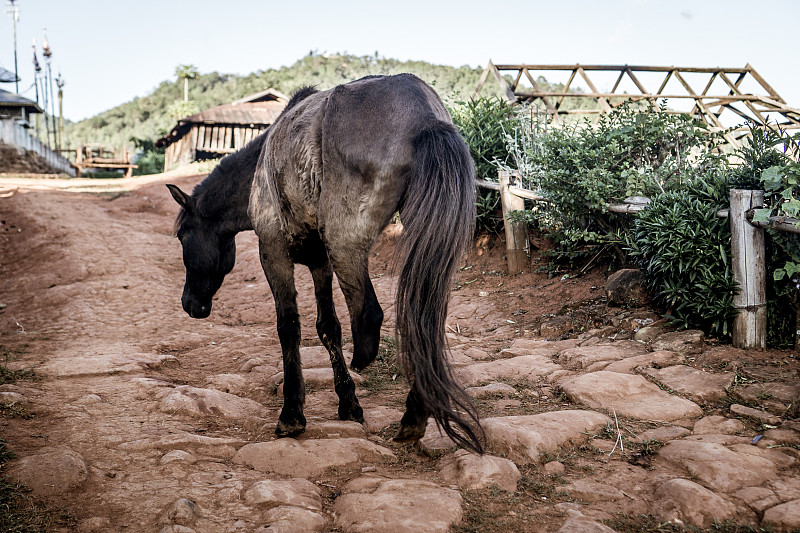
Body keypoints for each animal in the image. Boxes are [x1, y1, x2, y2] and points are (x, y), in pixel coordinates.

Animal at [166, 72, 484, 450]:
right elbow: (328, 327)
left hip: (344, 246)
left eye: (183, 235)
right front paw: (348, 403)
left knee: (370, 316)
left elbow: (289, 327)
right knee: (423, 318)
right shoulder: (321, 263)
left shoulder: (272, 251)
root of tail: (424, 117)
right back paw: (414, 415)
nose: (190, 304)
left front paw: (292, 414)